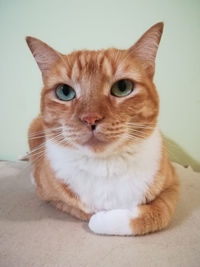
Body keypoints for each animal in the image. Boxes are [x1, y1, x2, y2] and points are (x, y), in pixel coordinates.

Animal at [25, 22, 179, 237]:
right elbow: (80, 209)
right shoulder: (50, 195)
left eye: (122, 87)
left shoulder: (173, 185)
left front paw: (105, 219)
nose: (90, 118)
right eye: (65, 92)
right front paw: (98, 215)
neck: (104, 165)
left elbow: (159, 213)